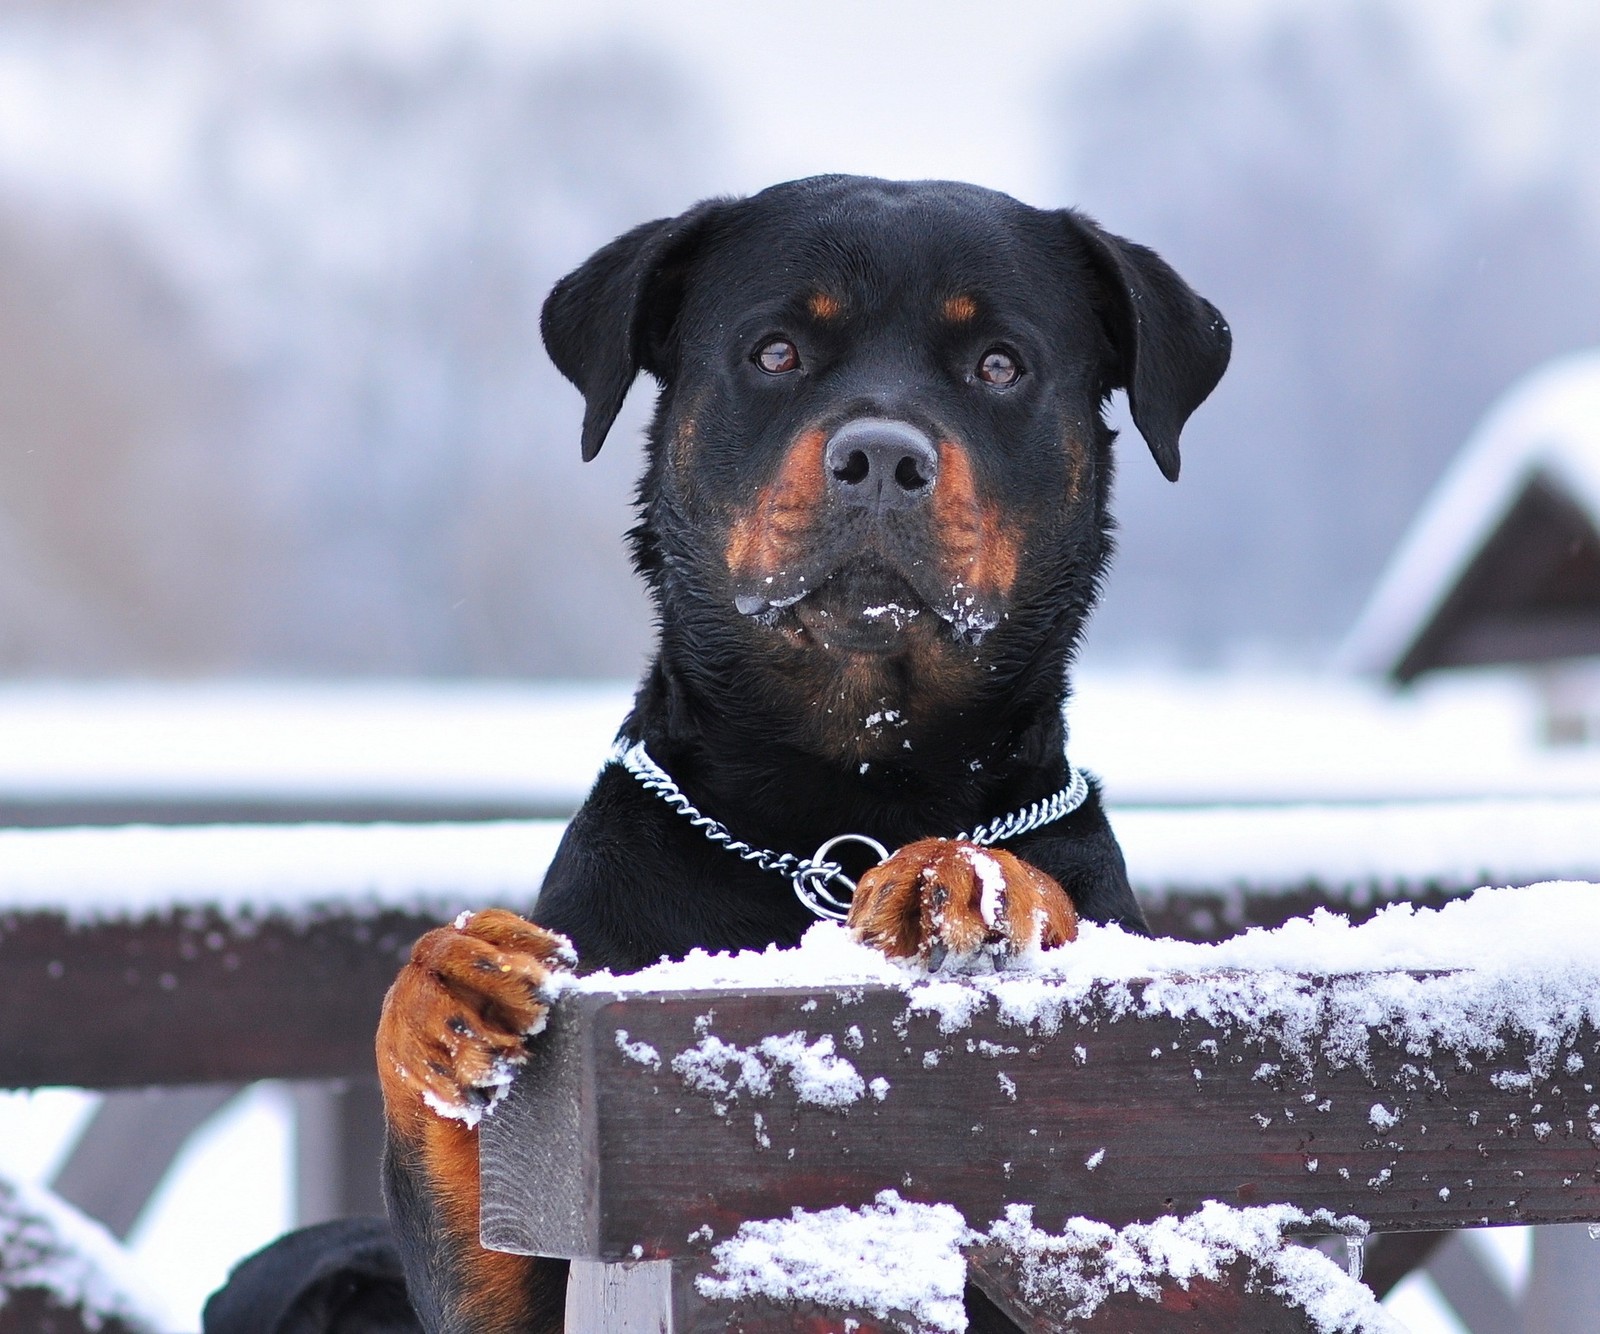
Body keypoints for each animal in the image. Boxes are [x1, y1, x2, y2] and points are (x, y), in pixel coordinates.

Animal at [212, 176, 1228, 1330]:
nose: (883, 457)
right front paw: (445, 989)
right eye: (776, 351)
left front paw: (965, 877)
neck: (835, 800)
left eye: (1000, 365)